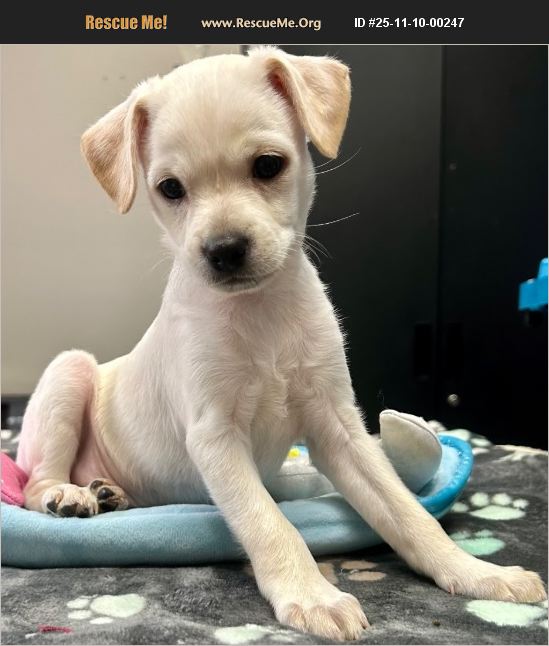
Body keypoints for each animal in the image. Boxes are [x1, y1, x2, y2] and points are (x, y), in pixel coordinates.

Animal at [17, 47, 546, 640]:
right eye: (170, 188)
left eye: (268, 165)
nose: (224, 250)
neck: (259, 312)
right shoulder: (216, 437)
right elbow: (269, 520)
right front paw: (314, 595)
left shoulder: (339, 430)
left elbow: (407, 513)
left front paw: (475, 571)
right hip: (70, 372)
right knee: (33, 480)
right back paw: (70, 495)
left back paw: (111, 492)